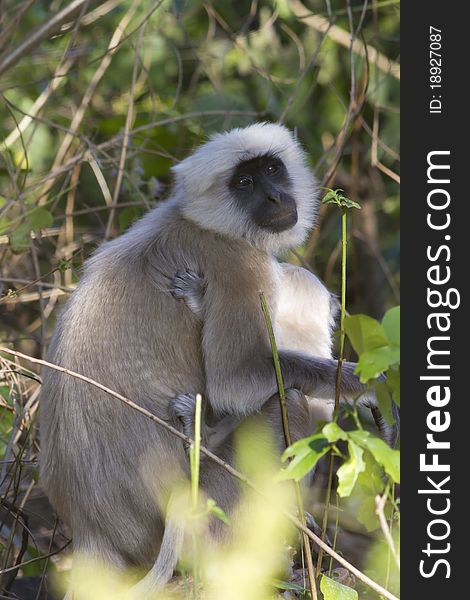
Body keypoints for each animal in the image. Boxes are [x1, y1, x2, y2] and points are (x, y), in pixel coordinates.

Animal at [38, 124, 386, 596]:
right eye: (244, 183)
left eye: (271, 170)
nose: (274, 197)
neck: (201, 222)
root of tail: (92, 531)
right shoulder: (237, 265)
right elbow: (235, 382)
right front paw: (367, 386)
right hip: (209, 512)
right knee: (290, 403)